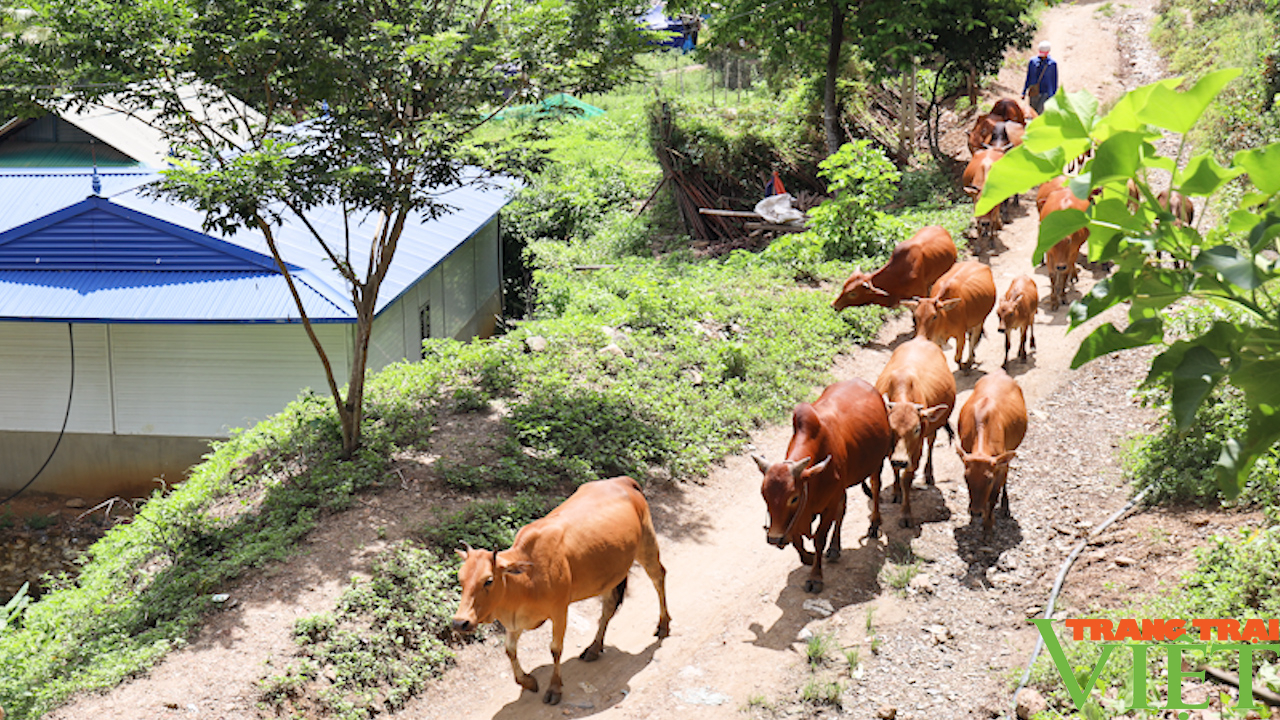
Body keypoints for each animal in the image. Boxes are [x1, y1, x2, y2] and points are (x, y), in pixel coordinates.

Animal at [450, 476, 670, 702]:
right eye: (460, 579)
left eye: (488, 580)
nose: (459, 622)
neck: (526, 579)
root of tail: (623, 480)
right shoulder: (516, 620)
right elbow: (510, 650)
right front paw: (527, 681)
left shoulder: (559, 611)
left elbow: (555, 649)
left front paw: (554, 688)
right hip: (610, 573)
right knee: (608, 607)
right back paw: (594, 648)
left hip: (647, 545)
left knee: (658, 577)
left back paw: (663, 626)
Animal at [747, 379, 890, 591]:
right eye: (765, 496)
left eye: (794, 498)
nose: (773, 538)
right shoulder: (804, 512)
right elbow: (797, 539)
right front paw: (808, 557)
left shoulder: (827, 505)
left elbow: (819, 539)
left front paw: (815, 577)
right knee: (842, 511)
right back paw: (835, 548)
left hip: (876, 464)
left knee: (875, 487)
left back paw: (874, 524)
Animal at [875, 335, 957, 527]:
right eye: (891, 428)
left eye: (917, 429)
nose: (900, 460)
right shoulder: (891, 449)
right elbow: (895, 469)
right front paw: (896, 491)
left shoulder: (915, 450)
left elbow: (907, 478)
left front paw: (905, 514)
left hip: (932, 430)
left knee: (932, 443)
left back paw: (928, 474)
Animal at [952, 368, 1029, 538]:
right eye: (966, 478)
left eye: (989, 480)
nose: (975, 512)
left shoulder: (1000, 466)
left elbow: (993, 497)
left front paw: (988, 526)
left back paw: (1005, 506)